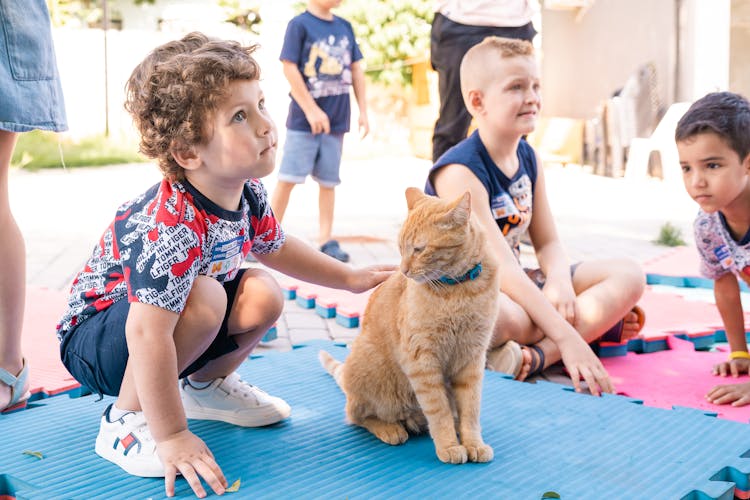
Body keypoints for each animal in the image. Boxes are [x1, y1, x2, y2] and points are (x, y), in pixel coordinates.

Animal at [318, 188, 500, 464]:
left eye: (419, 249)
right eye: (400, 248)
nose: (403, 270)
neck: (459, 289)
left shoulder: (472, 358)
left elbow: (470, 410)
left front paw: (473, 443)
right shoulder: (422, 359)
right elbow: (438, 410)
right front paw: (449, 445)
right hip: (368, 366)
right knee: (356, 414)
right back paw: (390, 428)